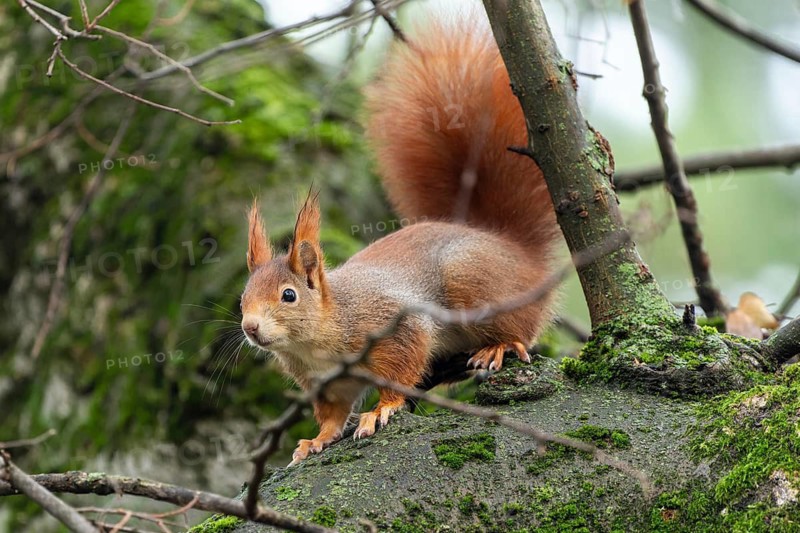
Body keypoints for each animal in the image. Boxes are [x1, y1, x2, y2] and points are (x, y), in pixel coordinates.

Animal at [240, 15, 559, 466]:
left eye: (289, 295)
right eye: (242, 297)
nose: (250, 328)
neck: (319, 336)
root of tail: (513, 248)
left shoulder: (395, 324)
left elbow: (401, 370)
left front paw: (381, 409)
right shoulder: (326, 381)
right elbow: (333, 413)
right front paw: (317, 439)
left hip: (472, 281)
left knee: (520, 328)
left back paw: (499, 345)